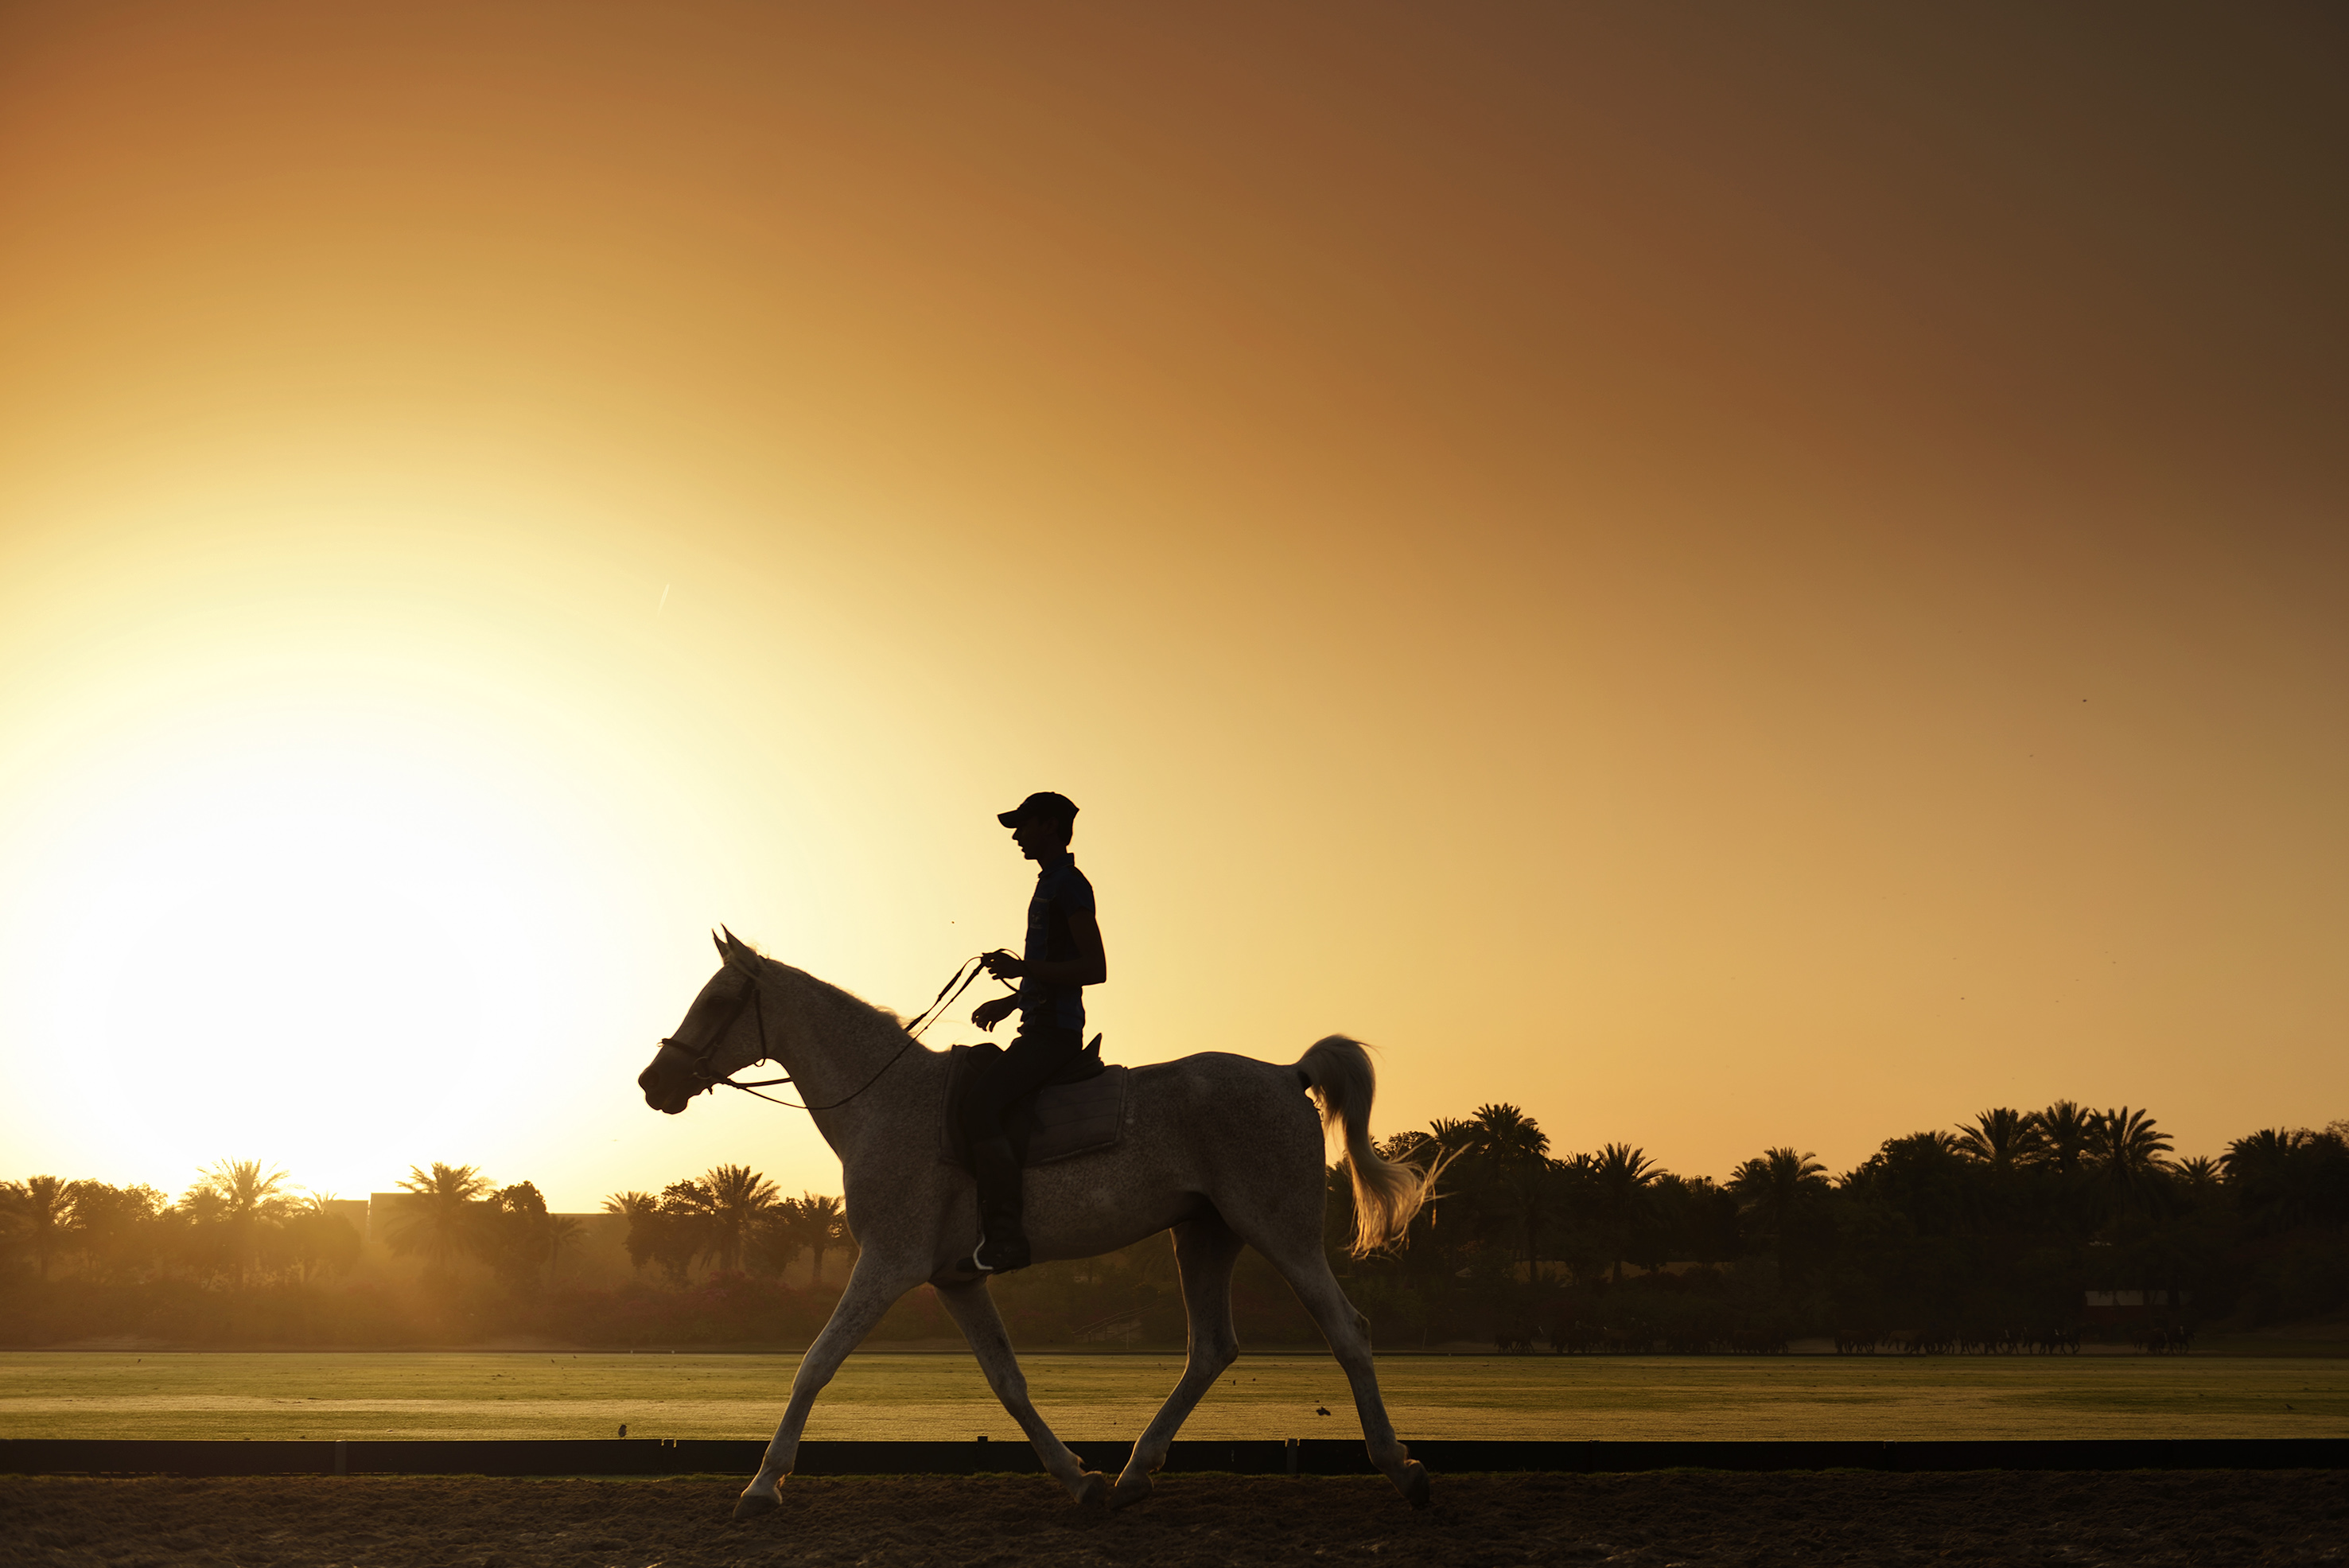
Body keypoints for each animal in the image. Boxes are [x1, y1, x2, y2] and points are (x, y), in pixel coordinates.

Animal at [636, 930, 1435, 1520]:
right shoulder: (955, 1279)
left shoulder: (888, 1263)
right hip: (1204, 1235)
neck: (887, 1100)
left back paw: (1400, 1467)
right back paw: (1134, 1473)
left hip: (1279, 1231)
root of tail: (1284, 1071)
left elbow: (816, 1361)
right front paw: (1076, 1477)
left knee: (1346, 1331)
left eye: (716, 1000)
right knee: (1211, 1348)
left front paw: (763, 1483)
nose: (653, 1083)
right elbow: (1008, 1381)